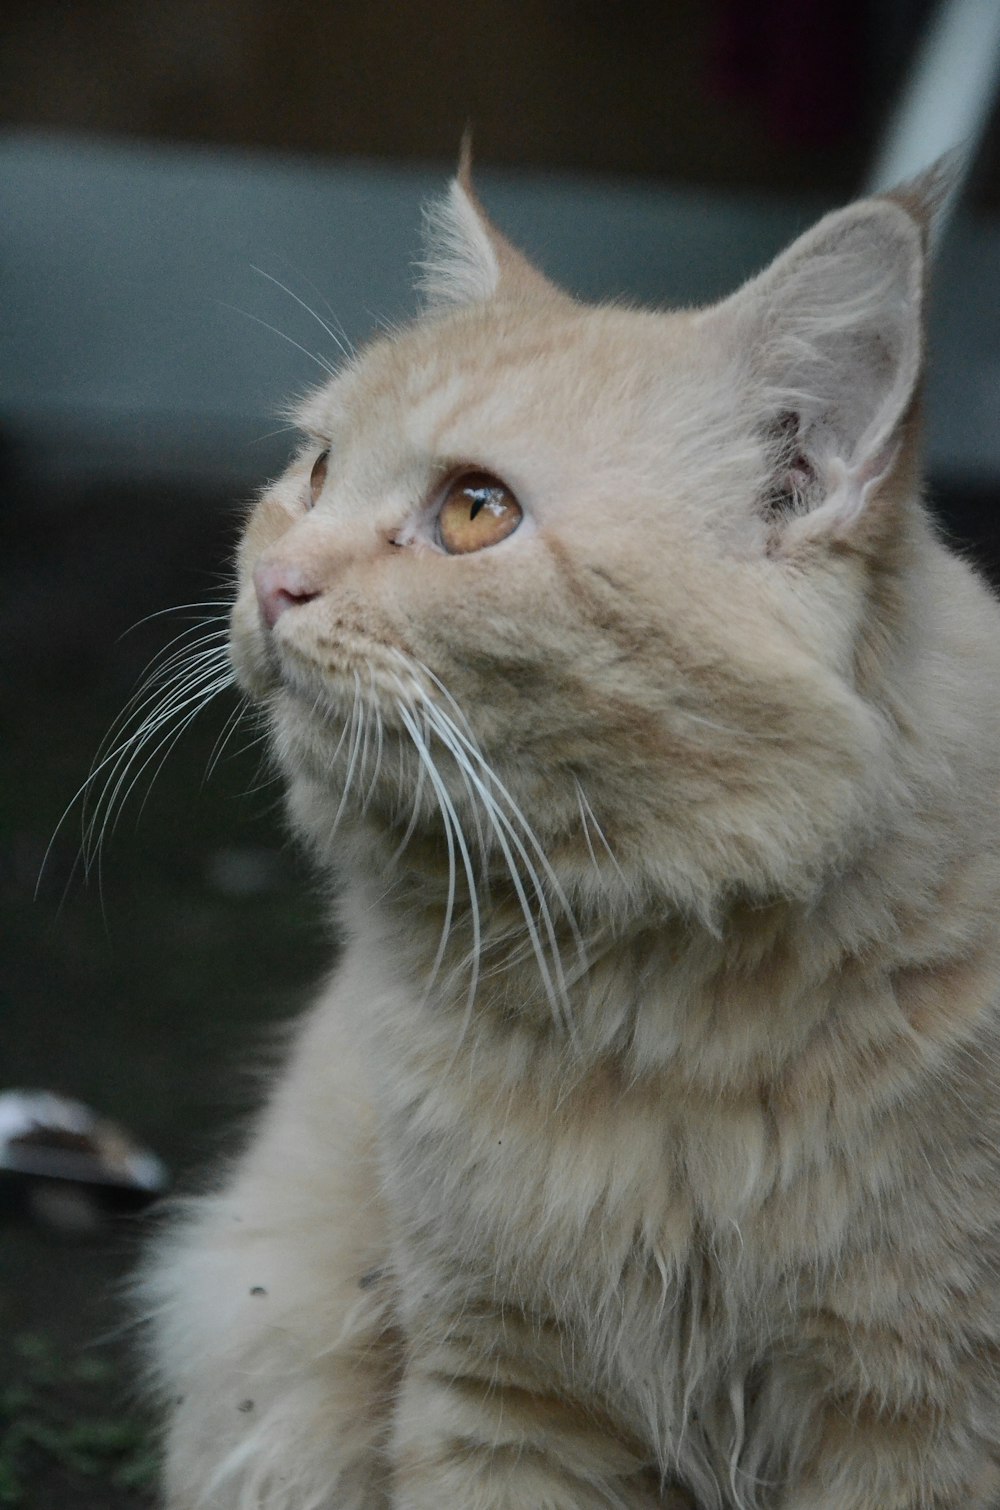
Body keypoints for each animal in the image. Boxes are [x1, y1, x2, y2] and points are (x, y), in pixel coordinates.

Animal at [142, 156, 1000, 1510]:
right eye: (316, 470)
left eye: (474, 512)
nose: (273, 582)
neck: (637, 1009)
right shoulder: (499, 1395)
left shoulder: (922, 1415)